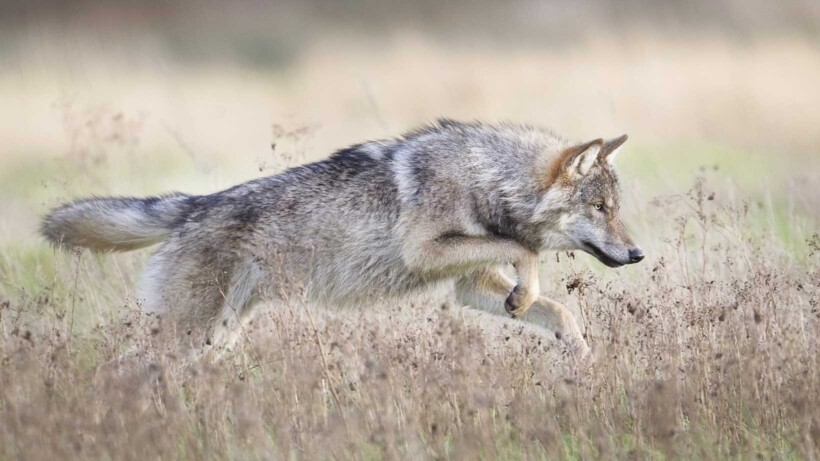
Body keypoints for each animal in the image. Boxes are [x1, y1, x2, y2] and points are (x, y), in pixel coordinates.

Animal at [41, 120, 644, 357]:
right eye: (601, 210)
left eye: (616, 211)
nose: (638, 254)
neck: (487, 177)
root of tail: (193, 205)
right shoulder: (424, 251)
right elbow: (522, 250)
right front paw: (528, 289)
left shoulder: (468, 286)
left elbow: (559, 310)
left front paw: (580, 355)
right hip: (187, 335)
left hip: (216, 336)